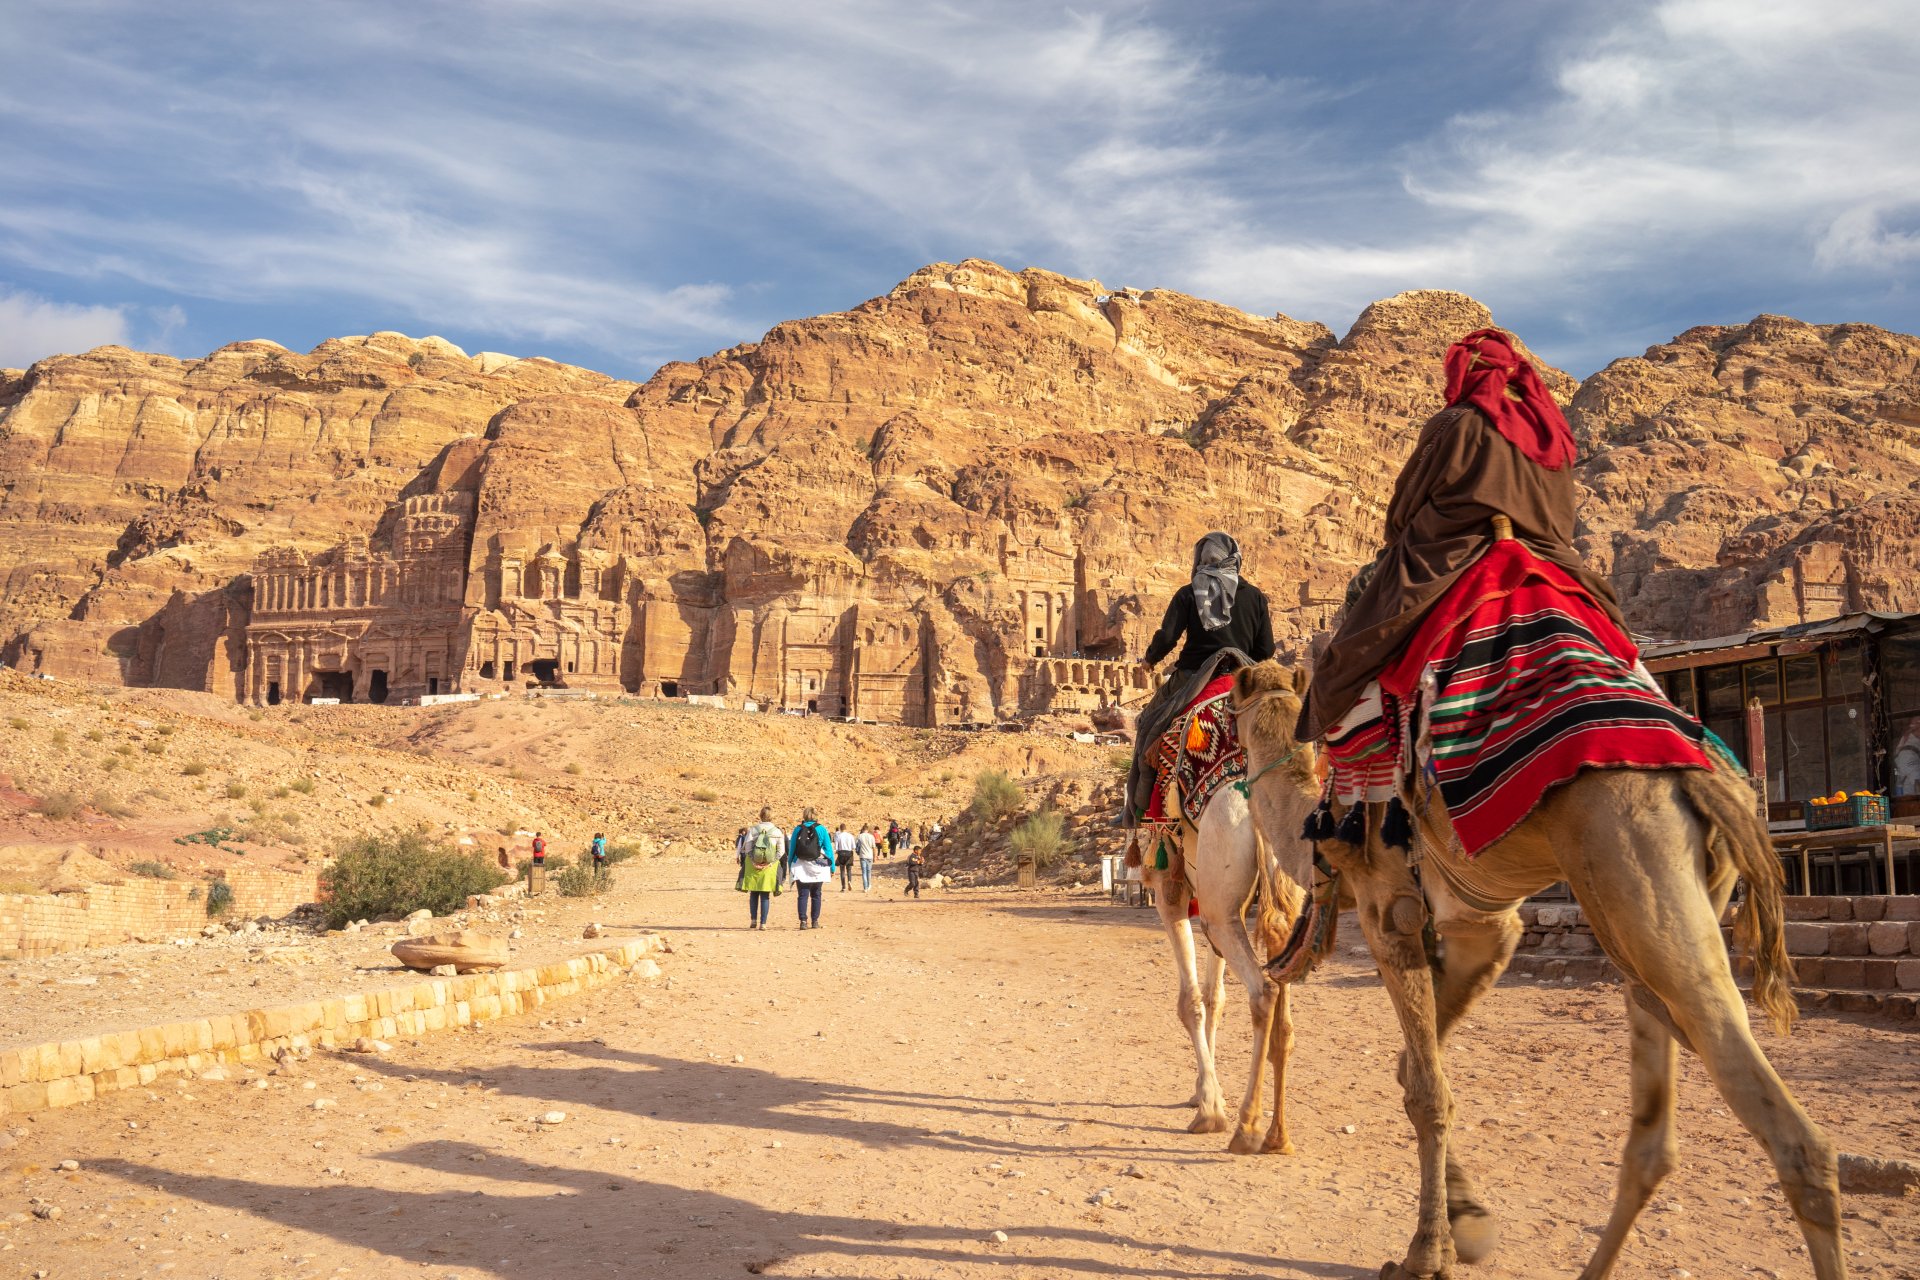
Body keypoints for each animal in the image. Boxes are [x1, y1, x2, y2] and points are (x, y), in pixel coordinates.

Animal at [1136, 752, 1320, 1151]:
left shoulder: (1169, 888)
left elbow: (1190, 1001)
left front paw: (1208, 1107)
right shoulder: (1208, 901)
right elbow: (1214, 997)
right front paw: (1201, 1092)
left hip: (1220, 909)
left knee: (1262, 990)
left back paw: (1246, 1128)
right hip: (1279, 902)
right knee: (1283, 1017)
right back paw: (1277, 1136)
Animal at [1228, 660, 1843, 1280]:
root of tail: (1707, 777)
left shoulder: (1391, 911)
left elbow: (1428, 1090)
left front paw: (1425, 1254)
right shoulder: (1484, 928)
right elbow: (1413, 1071)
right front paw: (1468, 1220)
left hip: (1633, 873)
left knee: (1794, 1140)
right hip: (1669, 914)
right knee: (1654, 1131)